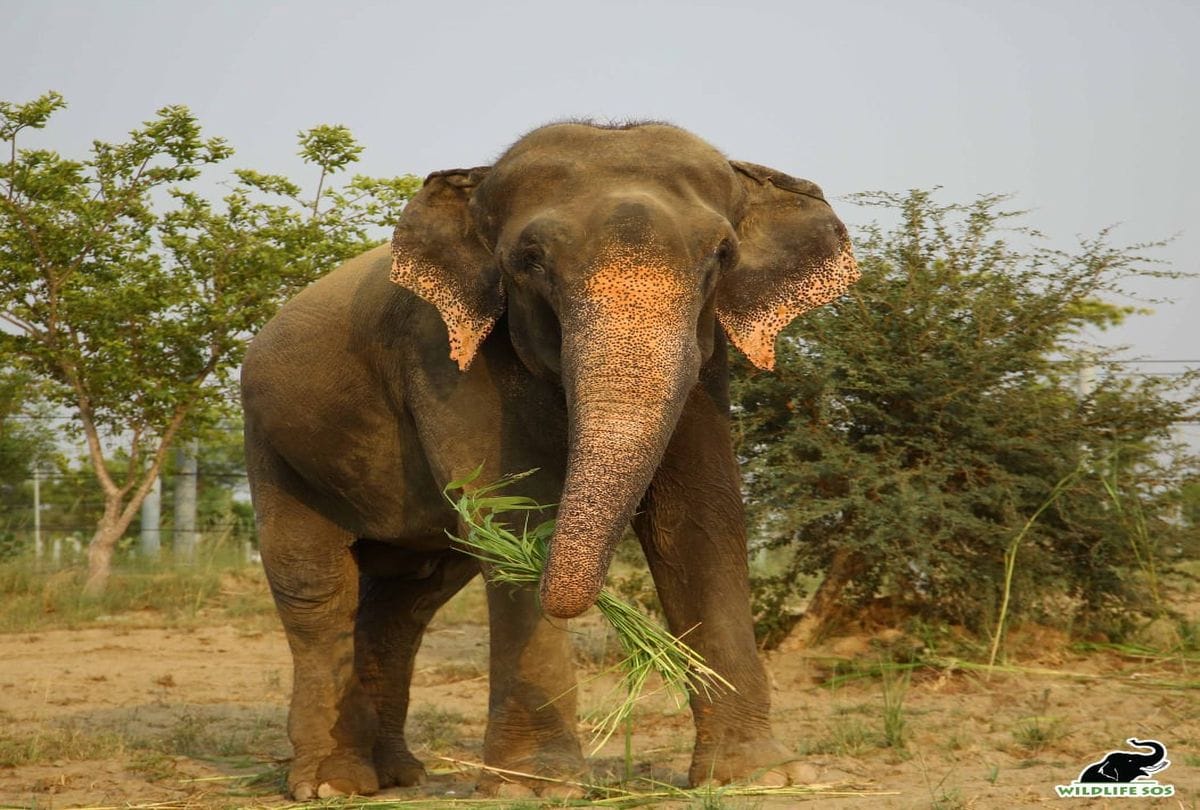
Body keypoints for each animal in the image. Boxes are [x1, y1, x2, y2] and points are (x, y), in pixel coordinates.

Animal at [240, 121, 859, 800]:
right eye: (530, 260)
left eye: (721, 256)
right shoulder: (442, 354)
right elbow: (517, 514)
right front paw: (533, 787)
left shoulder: (708, 362)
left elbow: (698, 521)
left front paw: (763, 776)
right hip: (274, 445)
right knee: (317, 587)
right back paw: (333, 784)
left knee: (408, 598)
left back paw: (396, 776)